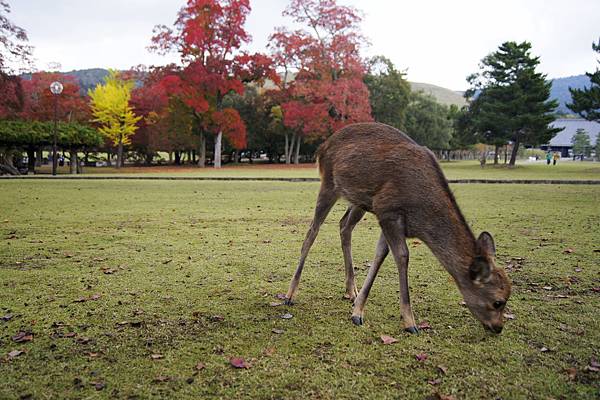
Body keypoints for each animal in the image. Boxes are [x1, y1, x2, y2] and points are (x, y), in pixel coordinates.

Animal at [282, 122, 510, 334]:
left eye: (508, 295)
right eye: (497, 301)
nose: (498, 327)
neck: (421, 217)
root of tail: (322, 147)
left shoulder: (389, 218)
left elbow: (380, 255)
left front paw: (357, 310)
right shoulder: (388, 211)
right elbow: (402, 256)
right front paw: (409, 322)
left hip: (359, 202)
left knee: (344, 225)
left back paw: (351, 290)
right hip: (329, 184)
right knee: (312, 232)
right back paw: (290, 295)